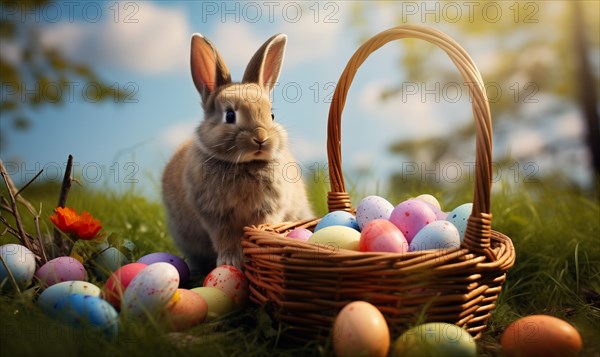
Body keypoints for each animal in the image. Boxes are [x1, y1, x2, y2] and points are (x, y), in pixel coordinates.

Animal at [163, 32, 314, 276]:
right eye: (230, 116)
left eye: (271, 115)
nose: (261, 138)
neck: (245, 164)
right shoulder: (216, 216)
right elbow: (225, 240)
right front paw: (230, 262)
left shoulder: (267, 211)